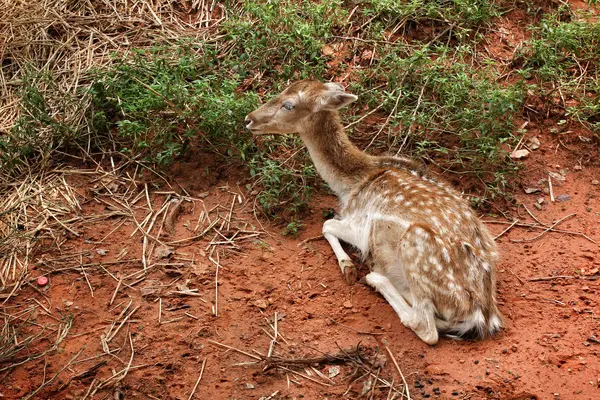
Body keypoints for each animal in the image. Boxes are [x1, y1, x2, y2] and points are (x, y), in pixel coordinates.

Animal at [244, 80, 502, 344]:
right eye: (282, 90)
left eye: (289, 105)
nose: (248, 119)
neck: (351, 183)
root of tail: (481, 316)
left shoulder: (360, 224)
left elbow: (327, 224)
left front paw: (348, 267)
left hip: (409, 240)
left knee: (426, 327)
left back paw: (375, 278)